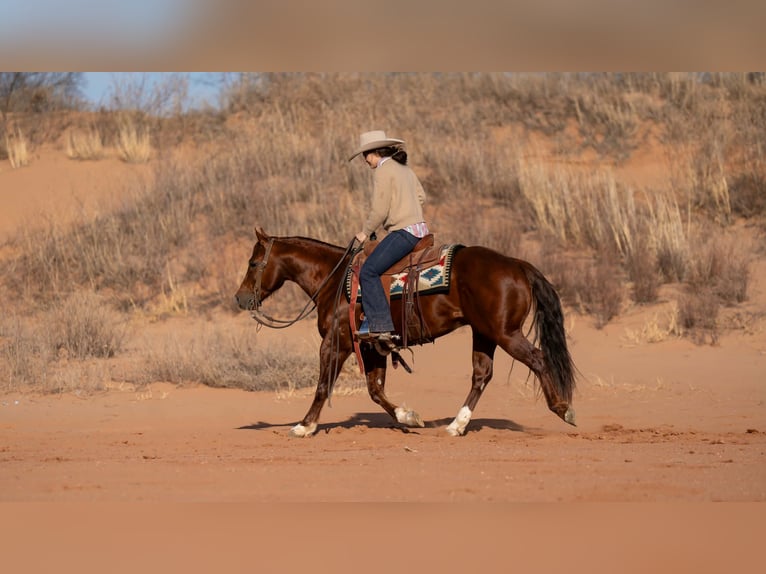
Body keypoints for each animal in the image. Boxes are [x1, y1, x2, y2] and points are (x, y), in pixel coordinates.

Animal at [235, 227, 576, 437]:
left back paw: (563, 409)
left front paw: (304, 426)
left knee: (538, 359)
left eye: (252, 262)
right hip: (485, 333)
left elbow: (322, 386)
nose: (240, 298)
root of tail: (516, 264)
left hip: (506, 333)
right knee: (482, 374)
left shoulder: (335, 343)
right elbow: (375, 390)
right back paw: (456, 425)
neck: (335, 280)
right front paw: (408, 416)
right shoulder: (370, 346)